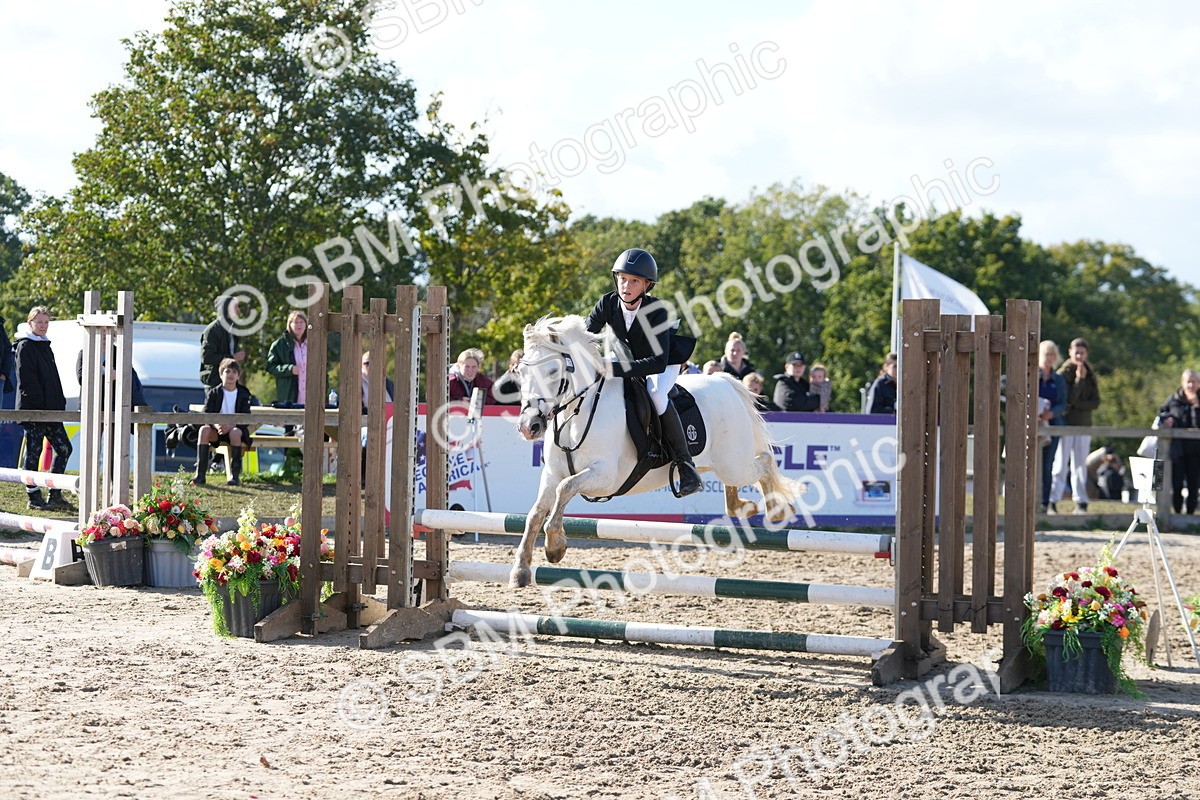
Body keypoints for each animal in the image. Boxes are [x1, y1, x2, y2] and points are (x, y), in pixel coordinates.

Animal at [510, 315, 797, 588]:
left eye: (552, 371)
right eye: (520, 373)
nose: (529, 427)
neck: (577, 412)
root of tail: (725, 382)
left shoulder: (605, 477)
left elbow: (565, 489)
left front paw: (555, 546)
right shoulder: (552, 473)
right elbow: (537, 513)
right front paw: (520, 570)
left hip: (734, 463)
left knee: (764, 463)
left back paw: (776, 511)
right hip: (723, 464)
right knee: (735, 483)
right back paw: (743, 507)